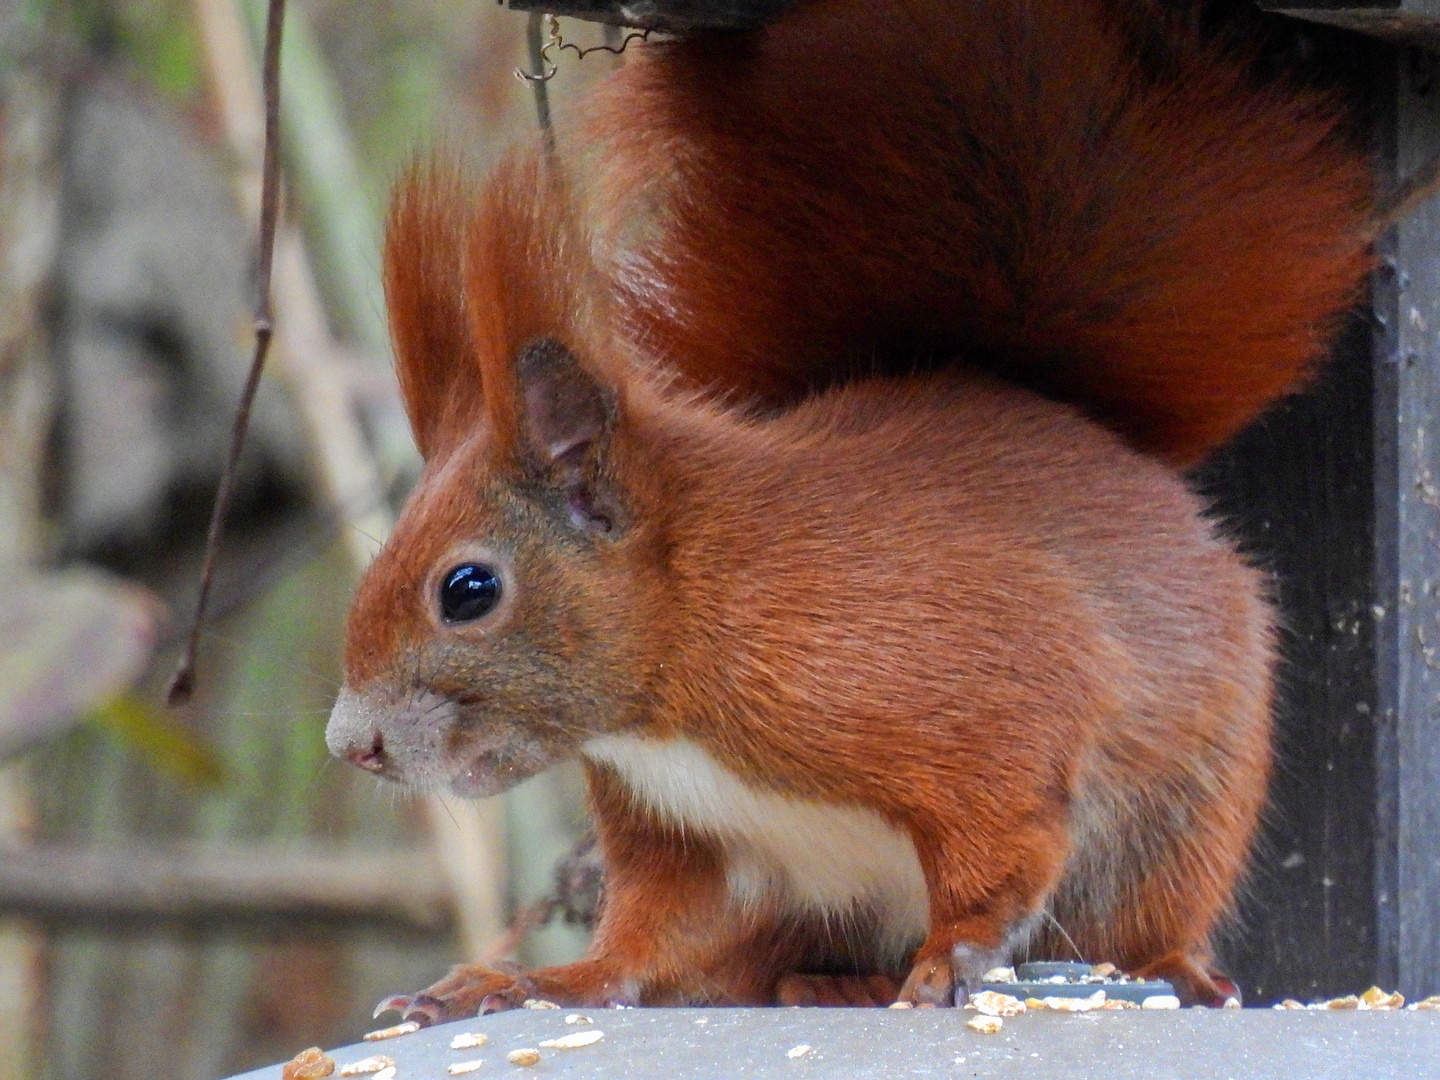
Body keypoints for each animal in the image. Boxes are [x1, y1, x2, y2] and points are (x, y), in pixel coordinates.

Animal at [326, 0, 1370, 1013]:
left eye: (467, 591)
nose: (352, 745)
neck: (679, 668)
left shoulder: (964, 683)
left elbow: (1003, 833)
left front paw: (955, 955)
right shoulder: (677, 830)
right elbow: (648, 940)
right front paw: (536, 981)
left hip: (1183, 814)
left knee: (1148, 914)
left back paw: (1171, 968)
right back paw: (834, 980)